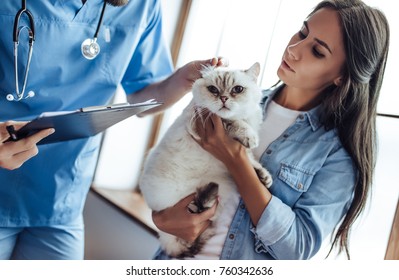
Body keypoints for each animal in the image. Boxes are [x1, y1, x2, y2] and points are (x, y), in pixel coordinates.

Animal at [139, 61, 274, 258]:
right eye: (213, 90)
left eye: (237, 89)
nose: (224, 98)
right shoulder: (202, 121)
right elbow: (232, 122)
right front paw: (249, 136)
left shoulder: (241, 154)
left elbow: (250, 162)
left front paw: (263, 177)